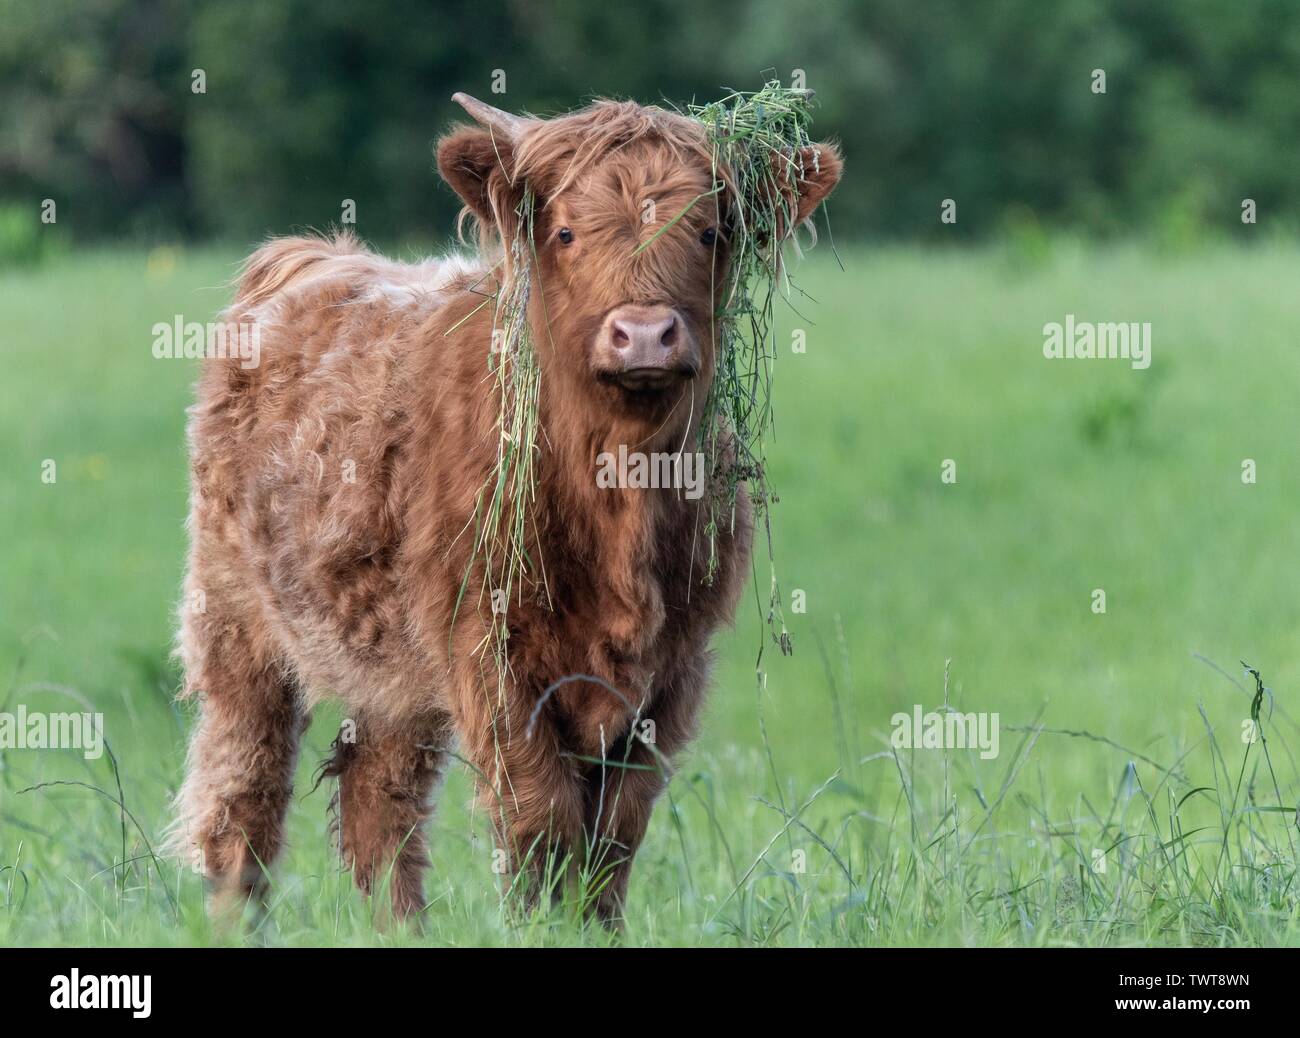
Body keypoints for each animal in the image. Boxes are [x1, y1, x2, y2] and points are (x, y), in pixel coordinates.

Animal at [170, 91, 841, 926]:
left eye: (711, 230)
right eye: (566, 232)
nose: (644, 334)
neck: (616, 498)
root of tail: (313, 258)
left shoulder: (674, 668)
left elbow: (615, 831)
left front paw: (594, 928)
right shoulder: (488, 650)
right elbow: (540, 815)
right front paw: (542, 927)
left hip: (391, 663)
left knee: (379, 798)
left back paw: (402, 933)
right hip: (236, 624)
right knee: (243, 795)